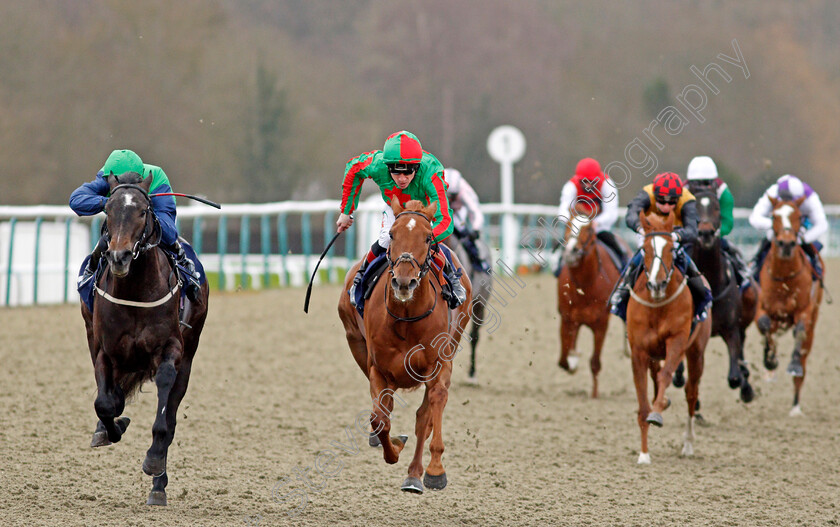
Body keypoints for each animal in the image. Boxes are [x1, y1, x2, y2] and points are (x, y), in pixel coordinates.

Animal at [81, 171, 210, 506]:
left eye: (142, 211)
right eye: (108, 209)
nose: (119, 257)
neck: (135, 290)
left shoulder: (171, 350)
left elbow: (164, 418)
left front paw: (153, 462)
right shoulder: (104, 350)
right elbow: (105, 403)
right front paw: (111, 428)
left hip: (189, 356)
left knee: (172, 417)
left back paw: (158, 486)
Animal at [336, 199, 472, 496]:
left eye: (428, 237)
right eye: (392, 234)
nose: (403, 281)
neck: (407, 316)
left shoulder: (439, 364)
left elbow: (431, 409)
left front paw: (434, 470)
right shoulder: (378, 368)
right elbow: (379, 418)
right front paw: (393, 447)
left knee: (425, 416)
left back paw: (415, 474)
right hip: (355, 343)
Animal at [628, 212, 712, 464]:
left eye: (670, 249)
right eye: (645, 248)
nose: (657, 284)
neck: (657, 306)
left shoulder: (677, 341)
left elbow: (666, 376)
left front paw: (657, 414)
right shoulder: (639, 351)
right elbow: (643, 400)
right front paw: (643, 454)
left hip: (696, 352)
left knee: (691, 393)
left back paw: (688, 443)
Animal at [752, 197, 824, 416]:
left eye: (799, 217)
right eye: (774, 216)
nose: (786, 243)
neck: (784, 276)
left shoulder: (804, 310)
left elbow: (799, 331)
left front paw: (792, 365)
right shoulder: (762, 308)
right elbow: (765, 325)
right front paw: (770, 360)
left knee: (802, 362)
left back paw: (795, 406)